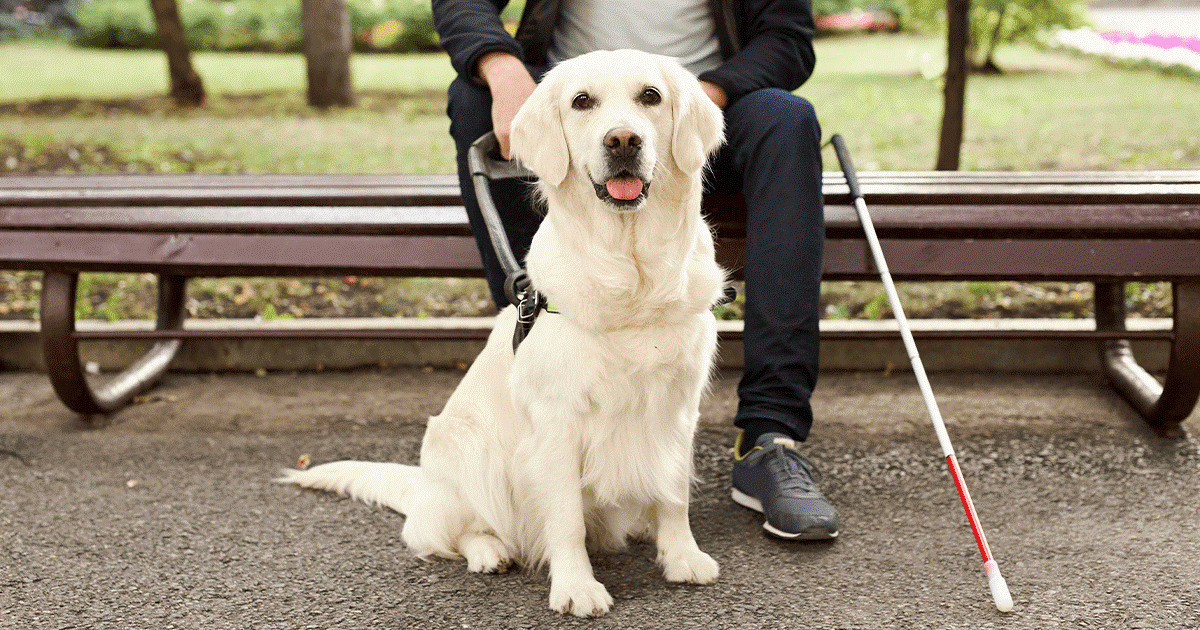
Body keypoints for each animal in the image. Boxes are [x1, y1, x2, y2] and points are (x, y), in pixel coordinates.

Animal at [282, 48, 724, 614]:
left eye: (651, 96)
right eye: (582, 101)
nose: (623, 140)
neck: (632, 275)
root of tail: (422, 487)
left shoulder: (677, 408)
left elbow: (674, 494)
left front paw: (682, 556)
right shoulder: (557, 423)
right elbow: (566, 520)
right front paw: (576, 587)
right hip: (469, 452)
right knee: (444, 533)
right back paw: (489, 551)